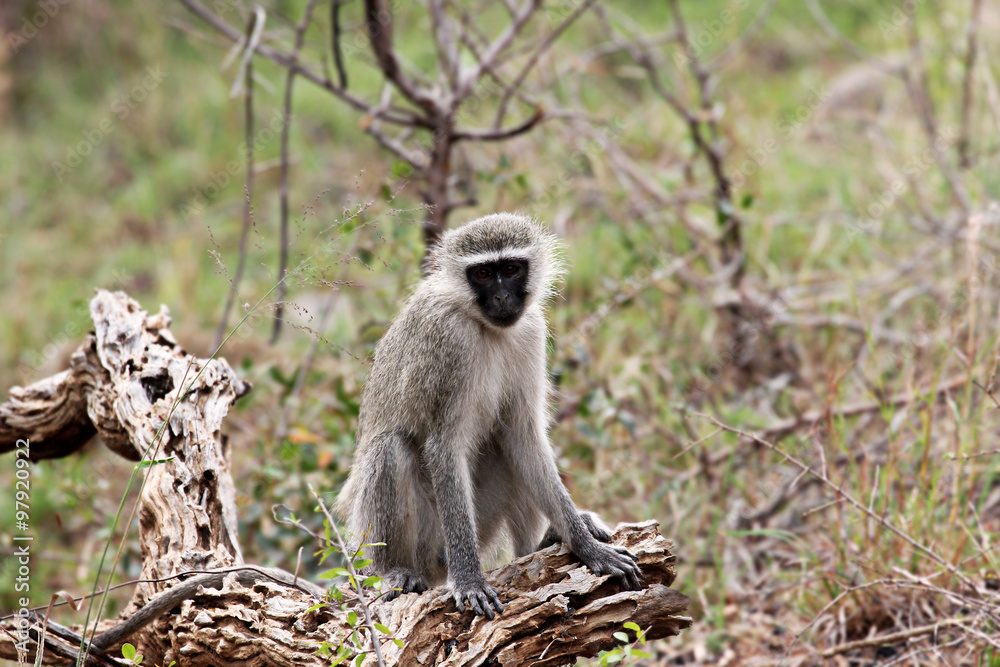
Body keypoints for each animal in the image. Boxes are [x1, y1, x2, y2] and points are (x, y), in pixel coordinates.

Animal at [335, 213, 642, 619]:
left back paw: (543, 544)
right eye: (481, 274)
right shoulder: (448, 340)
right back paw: (391, 571)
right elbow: (443, 446)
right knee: (389, 448)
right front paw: (469, 580)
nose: (501, 297)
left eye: (510, 269)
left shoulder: (531, 329)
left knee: (507, 445)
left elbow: (525, 437)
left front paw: (586, 547)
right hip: (420, 540)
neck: (483, 326)